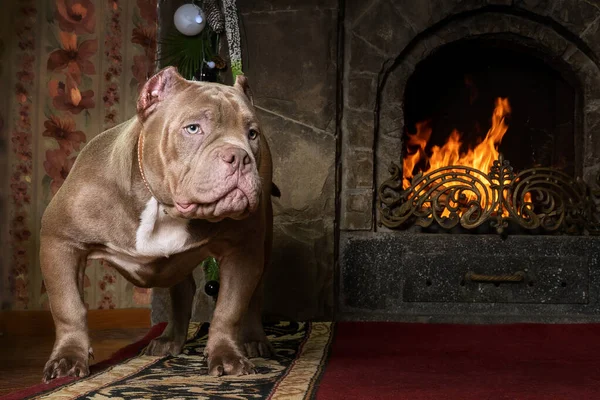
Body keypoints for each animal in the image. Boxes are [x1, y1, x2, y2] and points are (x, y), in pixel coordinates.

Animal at [40, 67, 276, 382]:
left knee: (253, 295)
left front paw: (226, 355)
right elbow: (68, 305)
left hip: (261, 243)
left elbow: (229, 309)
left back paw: (252, 340)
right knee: (182, 289)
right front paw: (68, 358)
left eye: (252, 134)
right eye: (193, 128)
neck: (163, 207)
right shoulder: (60, 241)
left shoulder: (242, 251)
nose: (239, 156)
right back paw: (170, 340)